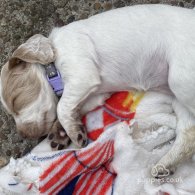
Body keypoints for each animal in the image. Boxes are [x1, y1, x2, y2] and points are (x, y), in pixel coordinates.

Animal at [0, 4, 195, 178]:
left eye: (16, 102)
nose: (23, 135)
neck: (53, 64)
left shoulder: (82, 74)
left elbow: (61, 107)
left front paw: (73, 132)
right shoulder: (95, 94)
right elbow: (72, 107)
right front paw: (61, 132)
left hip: (179, 79)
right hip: (178, 95)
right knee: (188, 133)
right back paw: (165, 165)